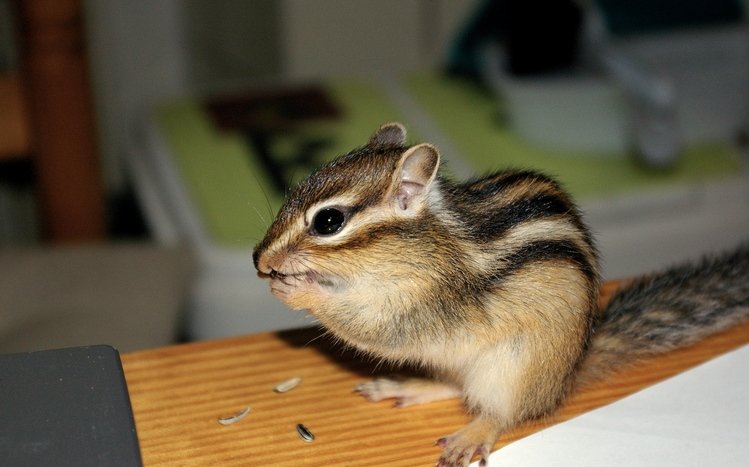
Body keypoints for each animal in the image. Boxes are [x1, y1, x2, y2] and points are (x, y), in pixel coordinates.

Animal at [253, 122, 749, 466]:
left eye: (329, 221)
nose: (259, 259)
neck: (425, 245)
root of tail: (567, 376)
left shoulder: (426, 304)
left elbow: (375, 329)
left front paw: (297, 288)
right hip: (460, 364)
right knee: (452, 385)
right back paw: (407, 386)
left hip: (514, 370)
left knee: (503, 412)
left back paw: (472, 434)